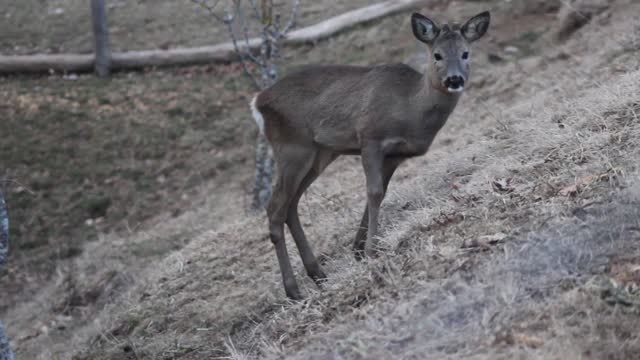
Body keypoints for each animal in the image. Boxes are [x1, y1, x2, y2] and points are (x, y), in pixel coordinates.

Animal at [250, 11, 490, 300]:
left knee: (291, 205)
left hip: (319, 153)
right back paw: (293, 290)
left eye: (466, 53)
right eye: (437, 55)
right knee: (275, 207)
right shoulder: (370, 138)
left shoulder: (395, 155)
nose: (454, 80)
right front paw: (370, 250)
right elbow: (373, 192)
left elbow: (380, 192)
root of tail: (257, 101)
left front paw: (358, 249)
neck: (411, 109)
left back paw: (318, 274)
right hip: (292, 147)